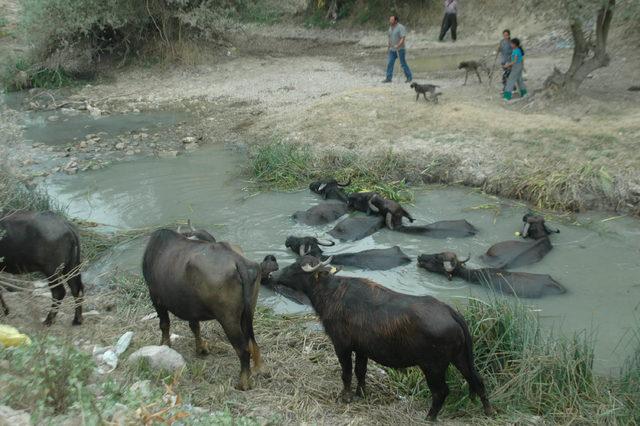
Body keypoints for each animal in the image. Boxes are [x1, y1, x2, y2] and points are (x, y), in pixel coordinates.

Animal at [144, 230, 264, 390]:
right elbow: (195, 327)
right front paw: (201, 348)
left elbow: (164, 324)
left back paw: (243, 383)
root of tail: (239, 262)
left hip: (228, 319)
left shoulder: (156, 298)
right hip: (247, 313)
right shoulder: (190, 308)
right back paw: (260, 369)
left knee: (243, 349)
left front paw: (165, 345)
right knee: (252, 342)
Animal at [270, 255, 496, 422]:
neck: (332, 294)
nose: (273, 273)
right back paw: (488, 411)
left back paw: (429, 417)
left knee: (441, 392)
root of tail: (451, 312)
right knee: (477, 380)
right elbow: (361, 372)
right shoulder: (362, 349)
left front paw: (345, 396)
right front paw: (361, 394)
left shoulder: (342, 345)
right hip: (461, 358)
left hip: (433, 366)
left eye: (295, 267)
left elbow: (346, 373)